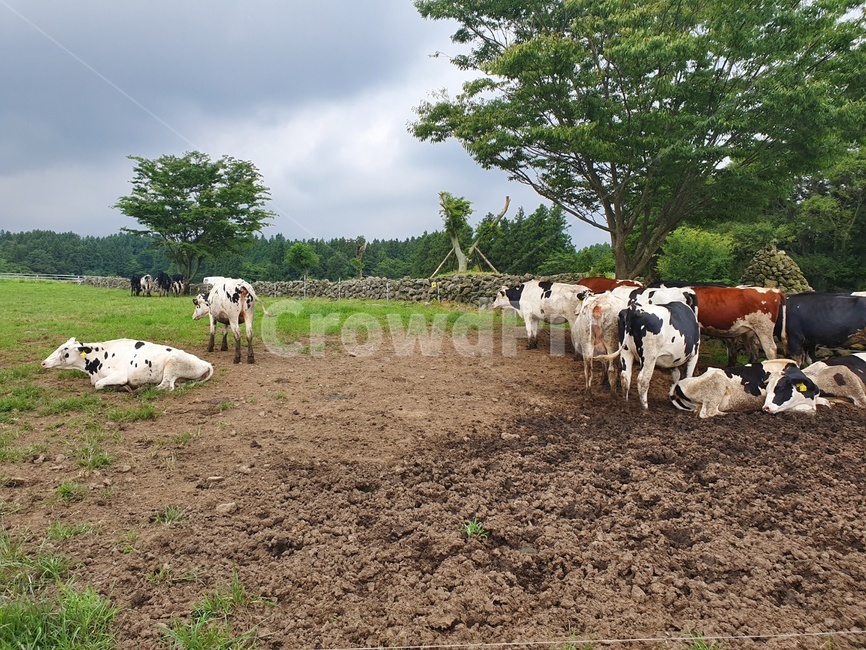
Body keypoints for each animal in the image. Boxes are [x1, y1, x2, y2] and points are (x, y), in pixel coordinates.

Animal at [41, 337, 213, 391]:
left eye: (65, 350)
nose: (43, 363)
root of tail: (204, 362)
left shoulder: (120, 375)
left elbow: (98, 385)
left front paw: (119, 386)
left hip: (172, 364)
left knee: (165, 386)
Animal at [671, 359, 824, 418]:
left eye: (780, 388)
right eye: (768, 389)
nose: (765, 408)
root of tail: (677, 386)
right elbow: (810, 410)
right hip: (716, 384)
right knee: (708, 412)